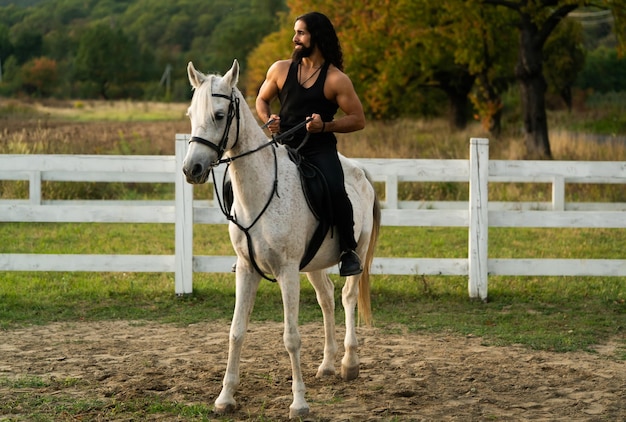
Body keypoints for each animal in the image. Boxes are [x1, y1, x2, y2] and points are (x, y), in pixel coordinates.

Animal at [178, 59, 378, 418]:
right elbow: (236, 332)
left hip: (357, 250)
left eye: (219, 115)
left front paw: (299, 403)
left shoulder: (286, 272)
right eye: (190, 114)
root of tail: (361, 172)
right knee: (327, 298)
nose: (192, 169)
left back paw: (349, 363)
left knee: (347, 297)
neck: (259, 193)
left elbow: (291, 337)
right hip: (313, 265)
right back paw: (327, 365)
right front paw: (225, 397)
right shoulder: (247, 270)